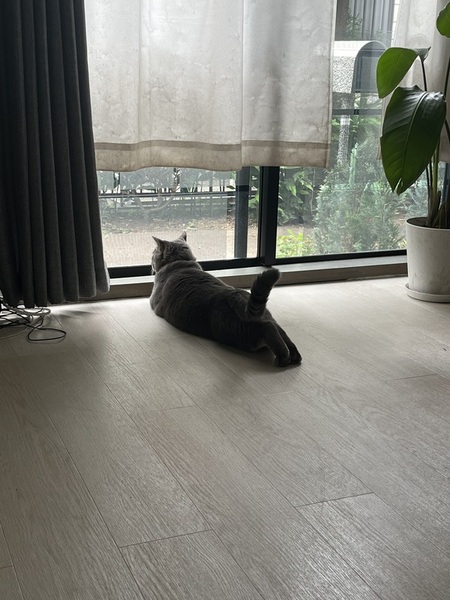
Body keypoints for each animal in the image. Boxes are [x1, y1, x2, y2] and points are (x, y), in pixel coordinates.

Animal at [150, 232, 301, 367]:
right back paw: (294, 356)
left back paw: (283, 359)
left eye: (153, 253)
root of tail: (232, 295)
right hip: (265, 316)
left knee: (267, 329)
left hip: (234, 331)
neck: (180, 263)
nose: (150, 260)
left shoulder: (154, 302)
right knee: (279, 330)